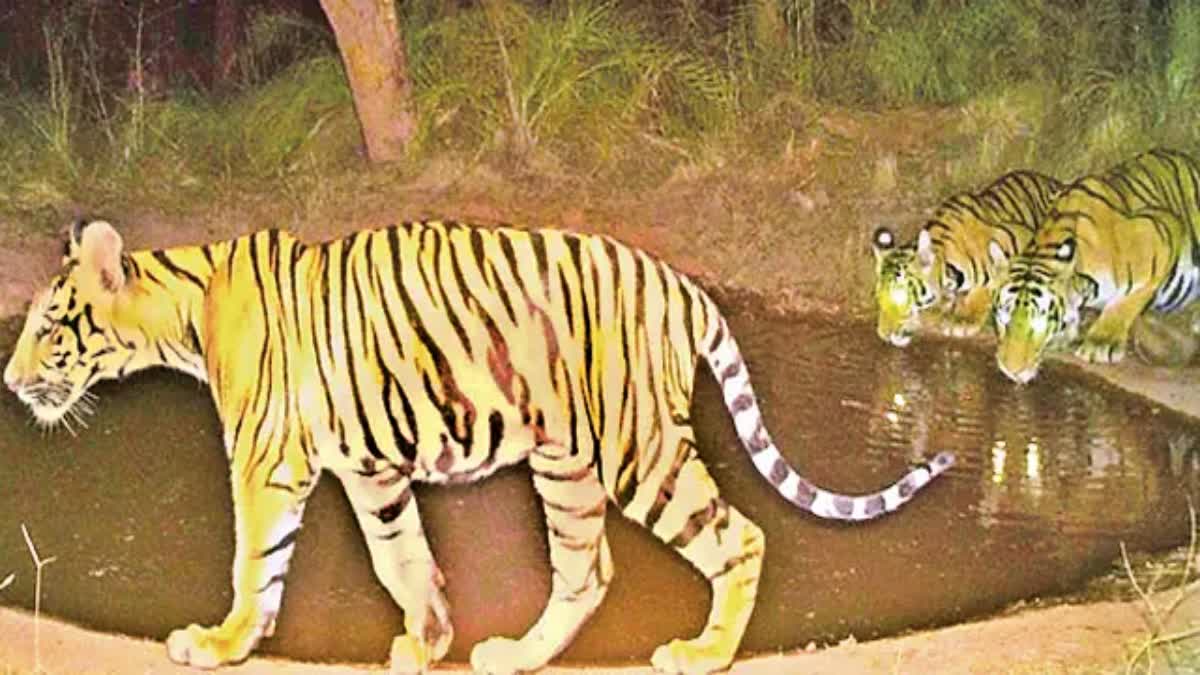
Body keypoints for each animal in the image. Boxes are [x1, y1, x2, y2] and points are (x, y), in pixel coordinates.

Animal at [3, 218, 954, 674]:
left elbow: (253, 564)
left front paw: (221, 641)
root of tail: (684, 285)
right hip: (566, 462)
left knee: (739, 536)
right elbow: (402, 558)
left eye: (48, 326)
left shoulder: (267, 462)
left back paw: (704, 653)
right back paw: (515, 655)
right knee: (587, 571)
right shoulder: (371, 470)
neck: (183, 313)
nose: (8, 380)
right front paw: (427, 641)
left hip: (637, 448)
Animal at [871, 169, 1064, 346]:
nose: (883, 335)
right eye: (879, 299)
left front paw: (965, 320)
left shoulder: (1017, 235)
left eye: (900, 299)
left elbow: (989, 285)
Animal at [993, 148, 1200, 384]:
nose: (1011, 370)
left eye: (1038, 324)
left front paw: (1101, 343)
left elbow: (1129, 299)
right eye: (1004, 319)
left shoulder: (1162, 229)